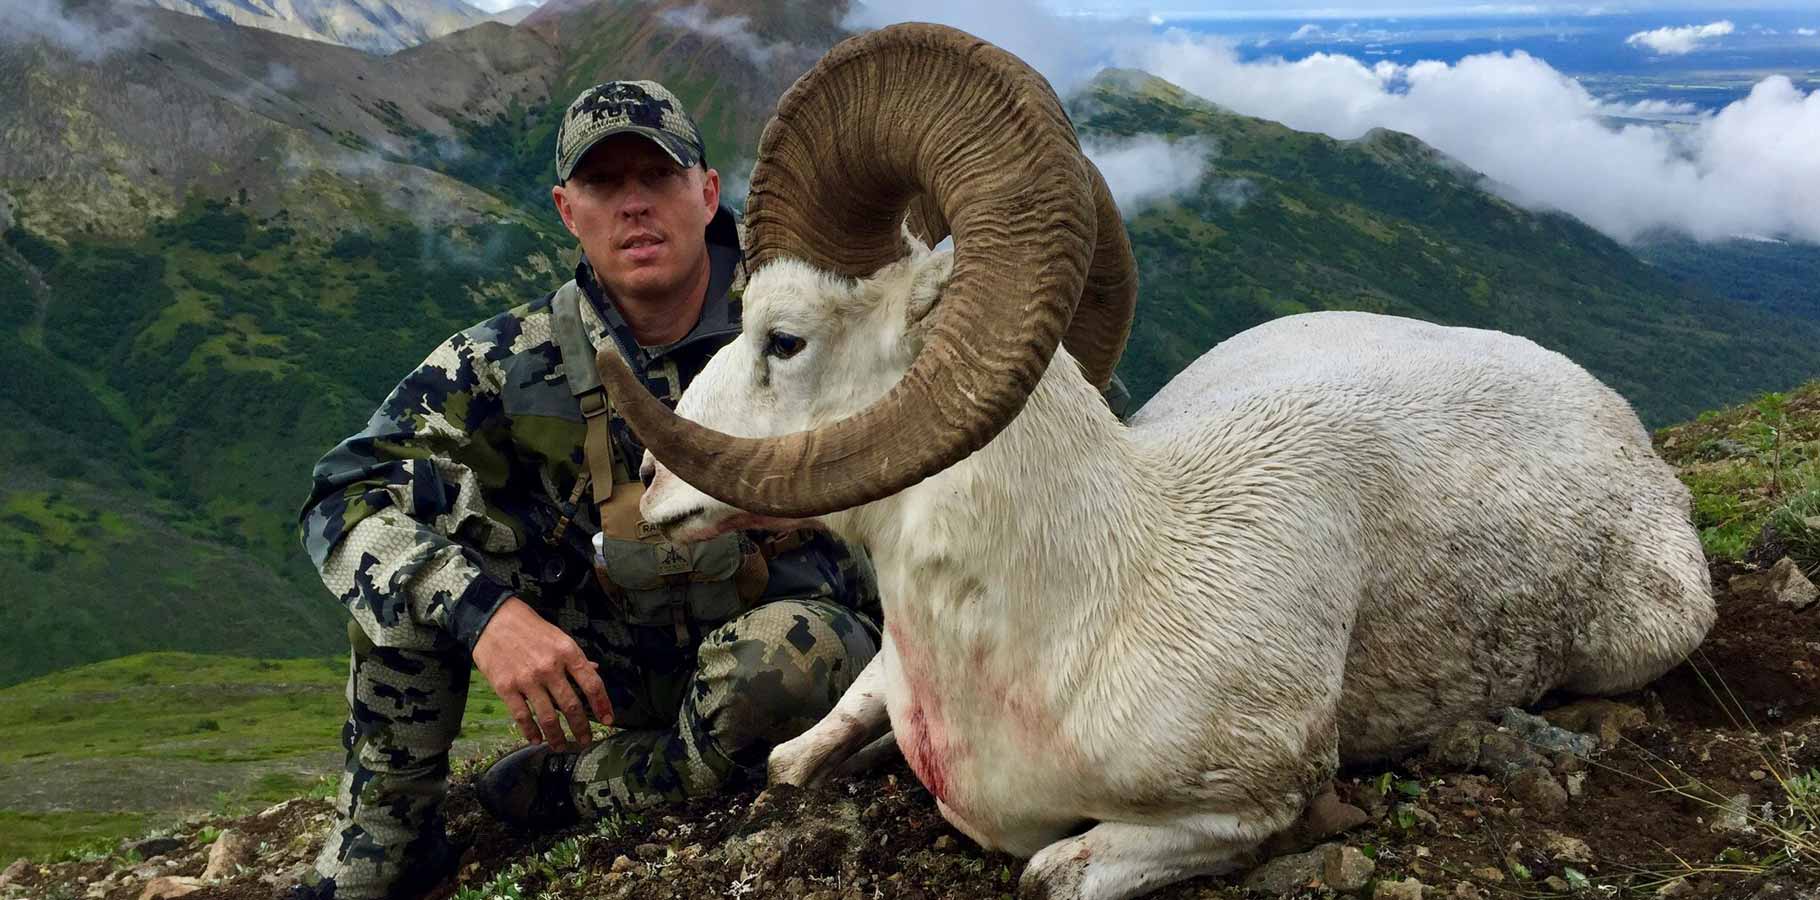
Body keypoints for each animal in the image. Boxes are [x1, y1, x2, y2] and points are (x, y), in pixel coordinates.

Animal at [597, 23, 1716, 900]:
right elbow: (792, 762)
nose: (648, 491)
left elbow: (1047, 874)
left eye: (781, 338)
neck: (1084, 600)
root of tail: (1611, 414)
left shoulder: (1244, 803)